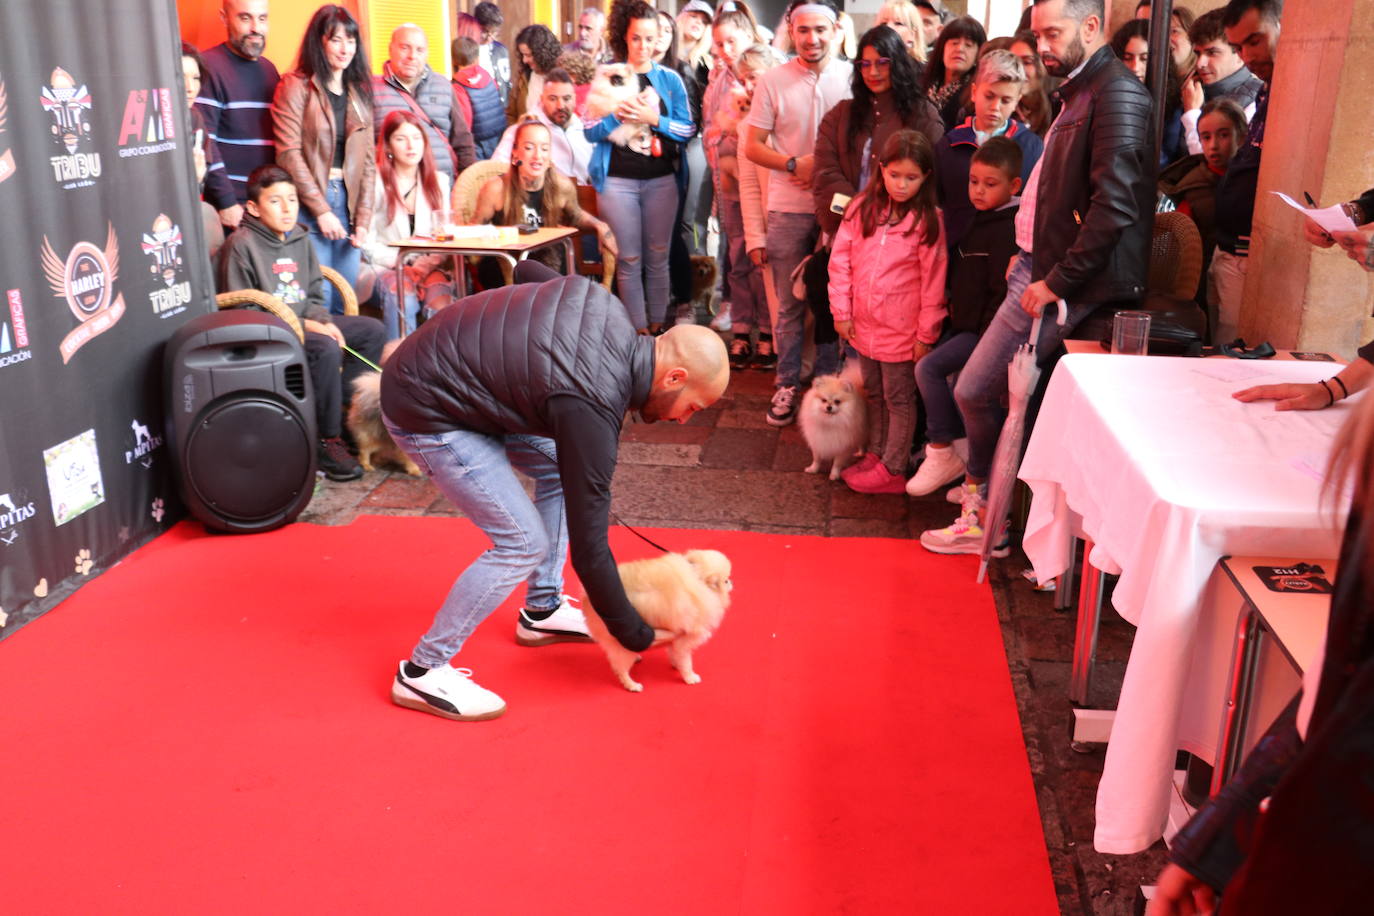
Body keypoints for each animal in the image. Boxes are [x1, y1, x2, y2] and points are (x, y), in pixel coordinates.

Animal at [579, 549, 730, 692]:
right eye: (725, 580)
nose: (730, 582)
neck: (697, 578)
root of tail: (588, 598)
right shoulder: (684, 639)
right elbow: (686, 661)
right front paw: (690, 677)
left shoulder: (676, 638)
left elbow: (674, 653)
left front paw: (675, 664)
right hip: (622, 640)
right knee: (621, 669)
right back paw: (632, 685)